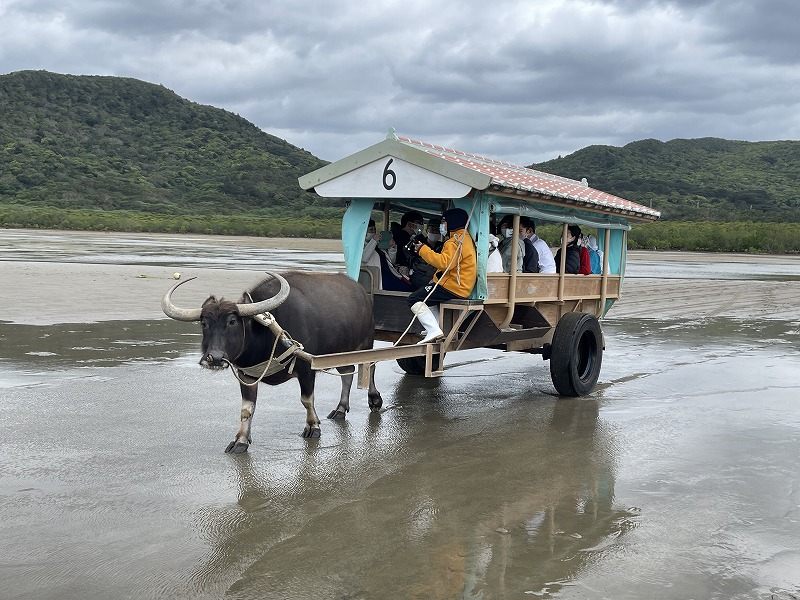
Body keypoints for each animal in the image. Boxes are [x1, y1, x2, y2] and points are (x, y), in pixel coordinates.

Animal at [162, 270, 382, 452]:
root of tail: (361, 292)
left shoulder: (307, 368)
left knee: (369, 368)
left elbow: (306, 400)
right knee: (347, 372)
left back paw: (374, 400)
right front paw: (241, 440)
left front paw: (313, 427)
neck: (267, 332)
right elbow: (246, 409)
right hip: (343, 351)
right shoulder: (247, 375)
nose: (214, 358)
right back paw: (340, 409)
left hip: (366, 343)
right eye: (204, 323)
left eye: (232, 322)